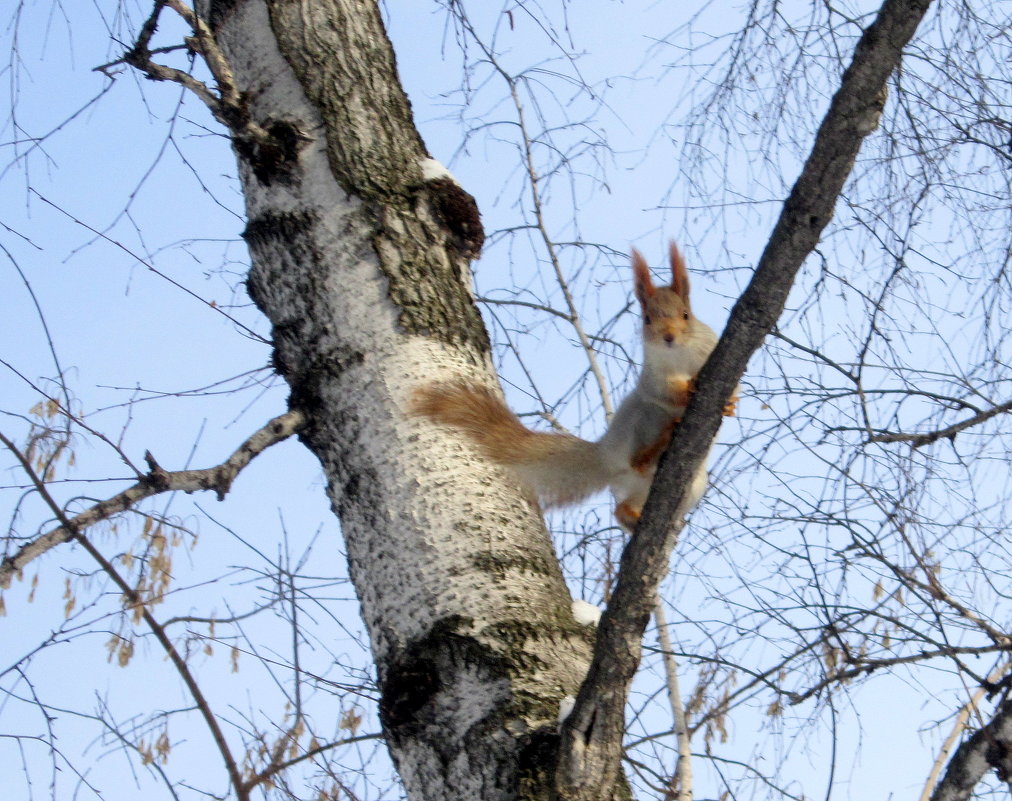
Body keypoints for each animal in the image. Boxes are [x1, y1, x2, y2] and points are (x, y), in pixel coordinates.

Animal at [410, 243, 736, 529]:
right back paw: (652, 450)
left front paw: (731, 404)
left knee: (622, 506)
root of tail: (605, 456)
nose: (668, 337)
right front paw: (687, 389)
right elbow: (660, 390)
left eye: (686, 315)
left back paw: (633, 514)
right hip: (639, 420)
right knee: (636, 461)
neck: (679, 354)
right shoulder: (652, 373)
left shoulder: (708, 346)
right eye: (646, 319)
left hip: (686, 488)